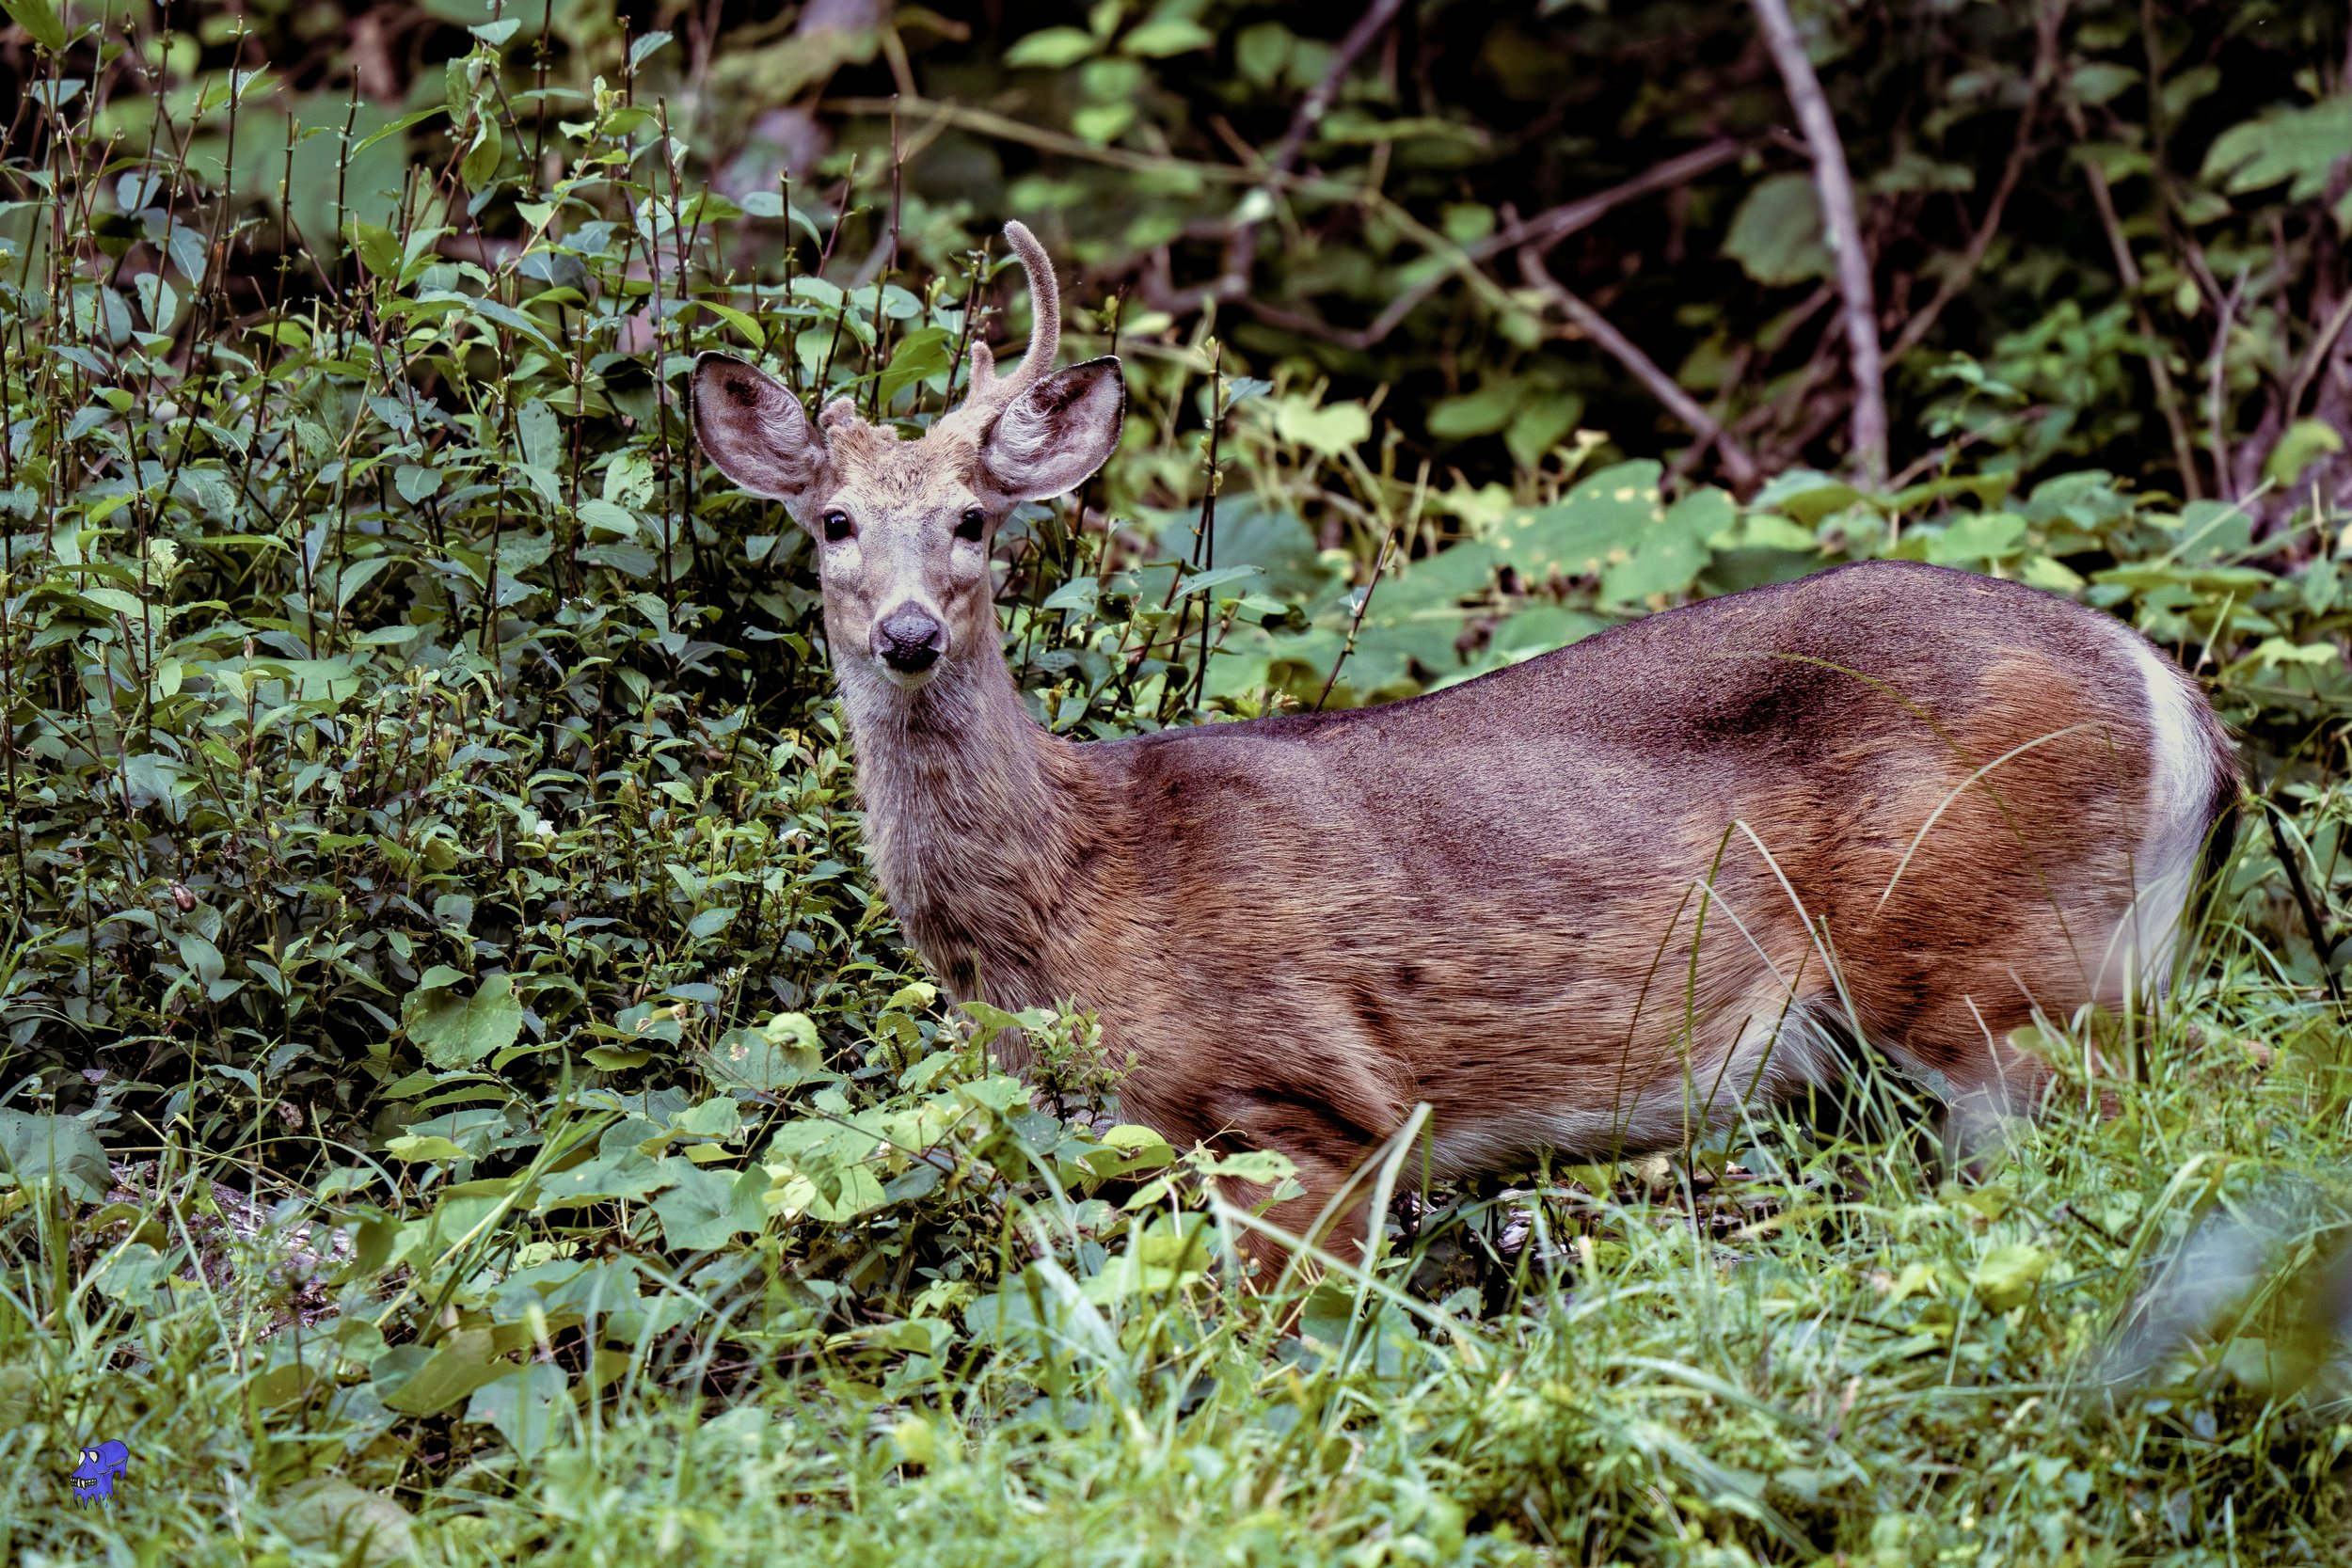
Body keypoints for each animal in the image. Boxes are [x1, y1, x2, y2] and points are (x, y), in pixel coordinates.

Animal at [691, 221, 2240, 1278]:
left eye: (972, 519)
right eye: (832, 522)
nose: (904, 632)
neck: (1080, 897)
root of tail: (2174, 696)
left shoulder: (1312, 1102)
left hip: (2002, 964)